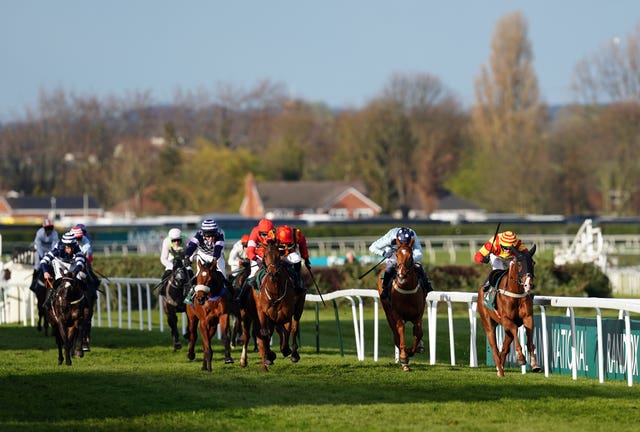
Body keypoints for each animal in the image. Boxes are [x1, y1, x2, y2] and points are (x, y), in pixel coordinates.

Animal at [252, 240, 304, 372]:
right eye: (265, 255)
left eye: (278, 255)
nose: (273, 273)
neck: (275, 292)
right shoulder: (263, 312)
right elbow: (265, 332)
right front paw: (269, 356)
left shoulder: (287, 313)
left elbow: (288, 329)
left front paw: (286, 350)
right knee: (274, 330)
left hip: (299, 307)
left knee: (294, 328)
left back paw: (293, 353)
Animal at [378, 240, 428, 372]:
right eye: (397, 255)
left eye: (410, 256)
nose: (401, 275)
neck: (407, 291)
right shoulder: (397, 314)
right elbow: (400, 330)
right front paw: (404, 357)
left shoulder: (418, 314)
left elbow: (418, 332)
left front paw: (414, 349)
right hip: (387, 312)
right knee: (395, 333)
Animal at [476, 245, 540, 376]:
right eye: (519, 263)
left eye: (533, 262)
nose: (528, 284)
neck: (516, 293)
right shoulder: (506, 319)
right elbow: (515, 329)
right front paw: (520, 358)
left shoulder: (528, 318)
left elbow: (530, 340)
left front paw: (534, 364)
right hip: (488, 324)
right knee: (495, 349)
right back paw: (500, 372)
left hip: (506, 330)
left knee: (504, 348)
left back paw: (500, 368)